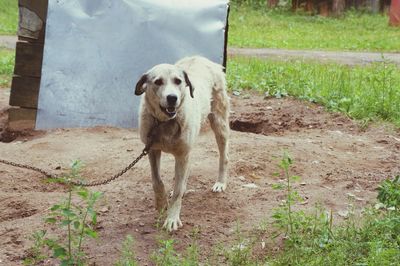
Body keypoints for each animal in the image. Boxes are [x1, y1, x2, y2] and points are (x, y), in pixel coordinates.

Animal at [134, 55, 230, 231]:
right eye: (158, 81)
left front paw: (172, 219)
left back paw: (220, 182)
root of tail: (202, 58)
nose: (172, 98)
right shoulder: (152, 150)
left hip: (219, 123)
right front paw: (161, 205)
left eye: (178, 81)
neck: (165, 122)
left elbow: (178, 190)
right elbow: (157, 181)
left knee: (224, 156)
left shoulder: (182, 154)